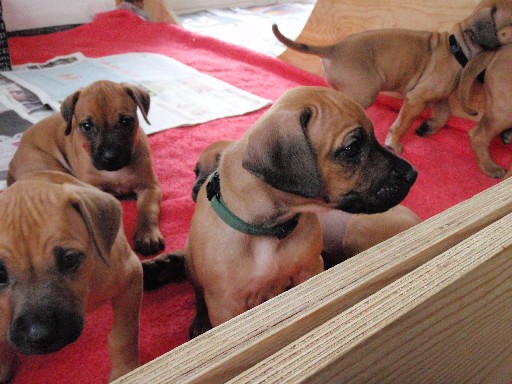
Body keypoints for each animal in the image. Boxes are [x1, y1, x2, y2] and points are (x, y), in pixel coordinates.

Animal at [7, 79, 164, 255]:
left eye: (125, 121)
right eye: (87, 126)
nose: (110, 156)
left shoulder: (149, 186)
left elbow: (148, 209)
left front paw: (147, 235)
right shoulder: (92, 188)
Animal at [182, 86, 418, 336]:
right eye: (352, 148)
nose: (413, 174)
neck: (270, 231)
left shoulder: (310, 270)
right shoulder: (226, 305)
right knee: (198, 295)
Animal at [274, 0, 512, 153]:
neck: (457, 46)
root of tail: (335, 48)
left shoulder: (439, 97)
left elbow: (443, 115)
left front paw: (427, 128)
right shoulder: (416, 99)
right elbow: (402, 124)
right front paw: (394, 143)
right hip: (365, 93)